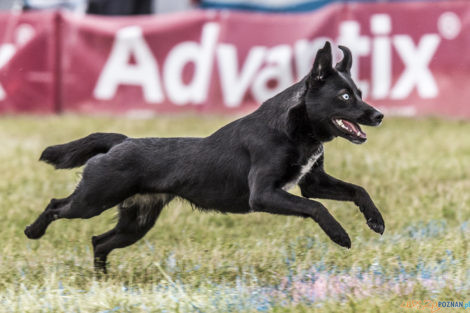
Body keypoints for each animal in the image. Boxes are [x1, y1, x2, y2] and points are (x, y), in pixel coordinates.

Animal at [25, 41, 384, 270]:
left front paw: (375, 220)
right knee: (57, 206)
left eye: (360, 92)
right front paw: (340, 234)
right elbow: (317, 207)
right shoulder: (264, 194)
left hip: (136, 222)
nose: (379, 115)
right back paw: (33, 232)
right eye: (345, 96)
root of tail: (121, 142)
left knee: (99, 241)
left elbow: (357, 190)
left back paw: (102, 279)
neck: (294, 128)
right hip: (93, 199)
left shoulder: (312, 182)